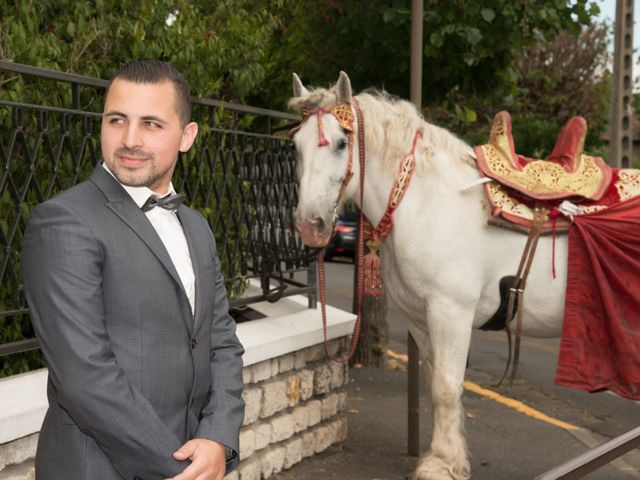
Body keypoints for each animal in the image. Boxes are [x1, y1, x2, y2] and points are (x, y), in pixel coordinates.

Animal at [288, 72, 568, 480]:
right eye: (296, 147)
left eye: (341, 143)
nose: (310, 226)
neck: (424, 199)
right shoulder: (423, 318)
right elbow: (438, 383)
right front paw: (449, 457)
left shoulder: (451, 313)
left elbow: (446, 387)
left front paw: (440, 466)